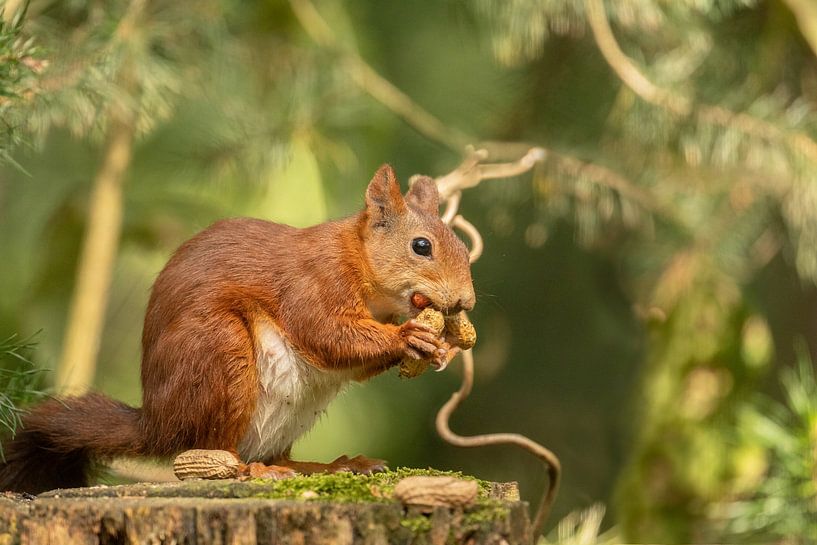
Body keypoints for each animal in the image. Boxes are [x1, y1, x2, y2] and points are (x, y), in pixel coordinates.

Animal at [0, 164, 475, 493]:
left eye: (460, 242)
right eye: (421, 246)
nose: (466, 302)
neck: (360, 261)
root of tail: (158, 423)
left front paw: (443, 348)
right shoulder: (314, 281)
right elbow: (326, 334)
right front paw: (410, 337)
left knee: (275, 452)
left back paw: (329, 466)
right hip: (220, 356)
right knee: (215, 453)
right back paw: (255, 470)